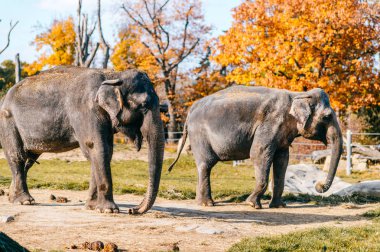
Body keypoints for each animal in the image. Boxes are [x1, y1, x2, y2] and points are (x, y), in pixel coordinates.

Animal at [0, 65, 164, 215]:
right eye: (143, 105)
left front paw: (92, 207)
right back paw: (25, 201)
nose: (132, 210)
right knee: (17, 156)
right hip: (8, 121)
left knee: (29, 160)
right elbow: (96, 147)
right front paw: (109, 210)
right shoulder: (85, 110)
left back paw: (12, 197)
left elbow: (104, 152)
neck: (113, 75)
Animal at [168, 85, 342, 208]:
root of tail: (191, 110)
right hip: (199, 135)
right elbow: (259, 154)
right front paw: (252, 204)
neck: (297, 94)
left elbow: (282, 160)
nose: (319, 185)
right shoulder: (270, 123)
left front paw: (279, 206)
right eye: (327, 117)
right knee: (206, 164)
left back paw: (202, 202)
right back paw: (207, 204)